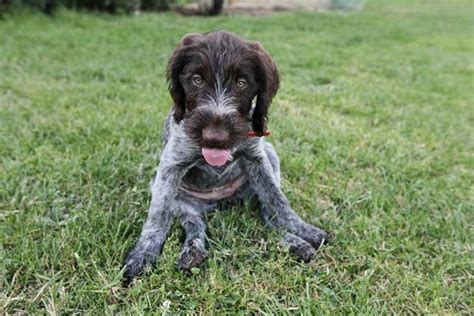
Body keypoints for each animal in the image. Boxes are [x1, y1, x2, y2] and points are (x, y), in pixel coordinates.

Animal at [124, 31, 328, 284]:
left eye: (242, 83)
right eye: (196, 79)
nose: (215, 138)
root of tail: (220, 203)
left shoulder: (257, 159)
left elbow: (278, 202)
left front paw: (302, 229)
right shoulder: (171, 164)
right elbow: (157, 216)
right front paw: (143, 254)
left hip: (270, 157)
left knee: (267, 213)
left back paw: (294, 242)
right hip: (179, 201)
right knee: (195, 224)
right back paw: (192, 252)